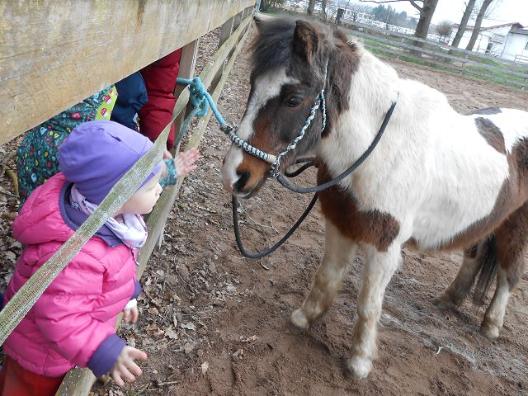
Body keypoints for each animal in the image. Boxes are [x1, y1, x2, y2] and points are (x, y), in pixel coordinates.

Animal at [221, 17, 528, 378]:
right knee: (474, 253)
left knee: (509, 272)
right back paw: (448, 300)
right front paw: (304, 318)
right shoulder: (340, 224)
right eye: (253, 85)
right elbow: (326, 277)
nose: (235, 175)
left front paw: (359, 361)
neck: (379, 150)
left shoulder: (384, 246)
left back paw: (491, 325)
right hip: (485, 219)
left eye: (294, 98)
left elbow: (368, 304)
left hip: (515, 225)